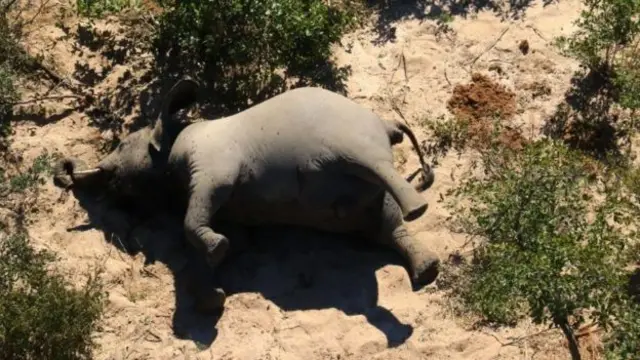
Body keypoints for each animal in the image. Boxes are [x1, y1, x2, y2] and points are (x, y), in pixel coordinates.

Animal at [55, 78, 440, 312]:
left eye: (122, 145)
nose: (64, 171)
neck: (176, 138)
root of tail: (387, 125)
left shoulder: (213, 165)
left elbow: (194, 217)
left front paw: (215, 254)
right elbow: (226, 239)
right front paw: (213, 294)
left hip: (355, 141)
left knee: (376, 170)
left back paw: (418, 211)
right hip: (366, 196)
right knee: (386, 226)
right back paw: (428, 271)